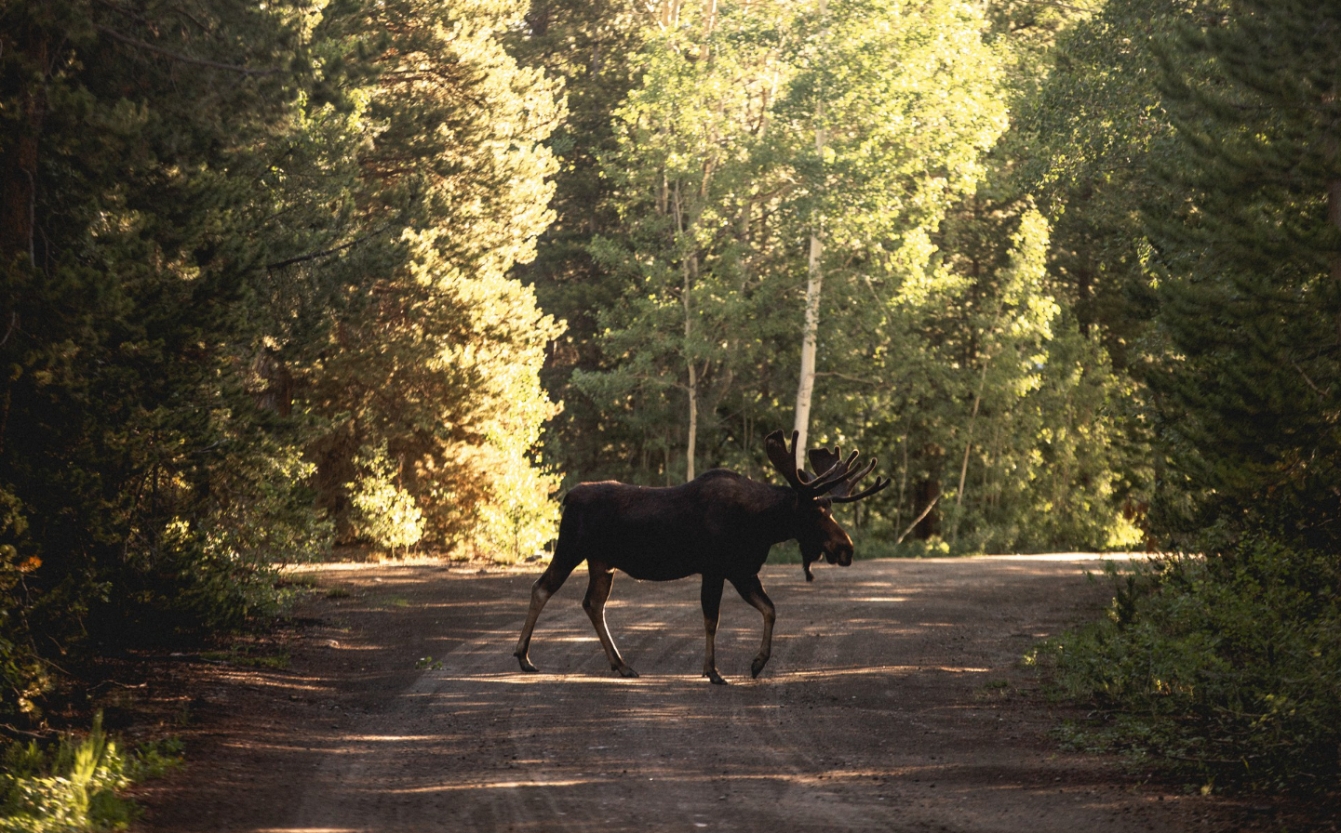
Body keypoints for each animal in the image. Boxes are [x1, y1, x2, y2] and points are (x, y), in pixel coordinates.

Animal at [512, 429, 890, 681]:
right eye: (816, 513)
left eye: (830, 509)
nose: (846, 548)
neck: (761, 525)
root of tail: (568, 496)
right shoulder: (716, 567)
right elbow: (712, 619)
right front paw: (713, 670)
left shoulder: (742, 570)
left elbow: (770, 609)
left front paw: (757, 663)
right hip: (571, 547)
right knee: (542, 588)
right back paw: (523, 656)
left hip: (603, 563)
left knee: (593, 603)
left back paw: (621, 664)